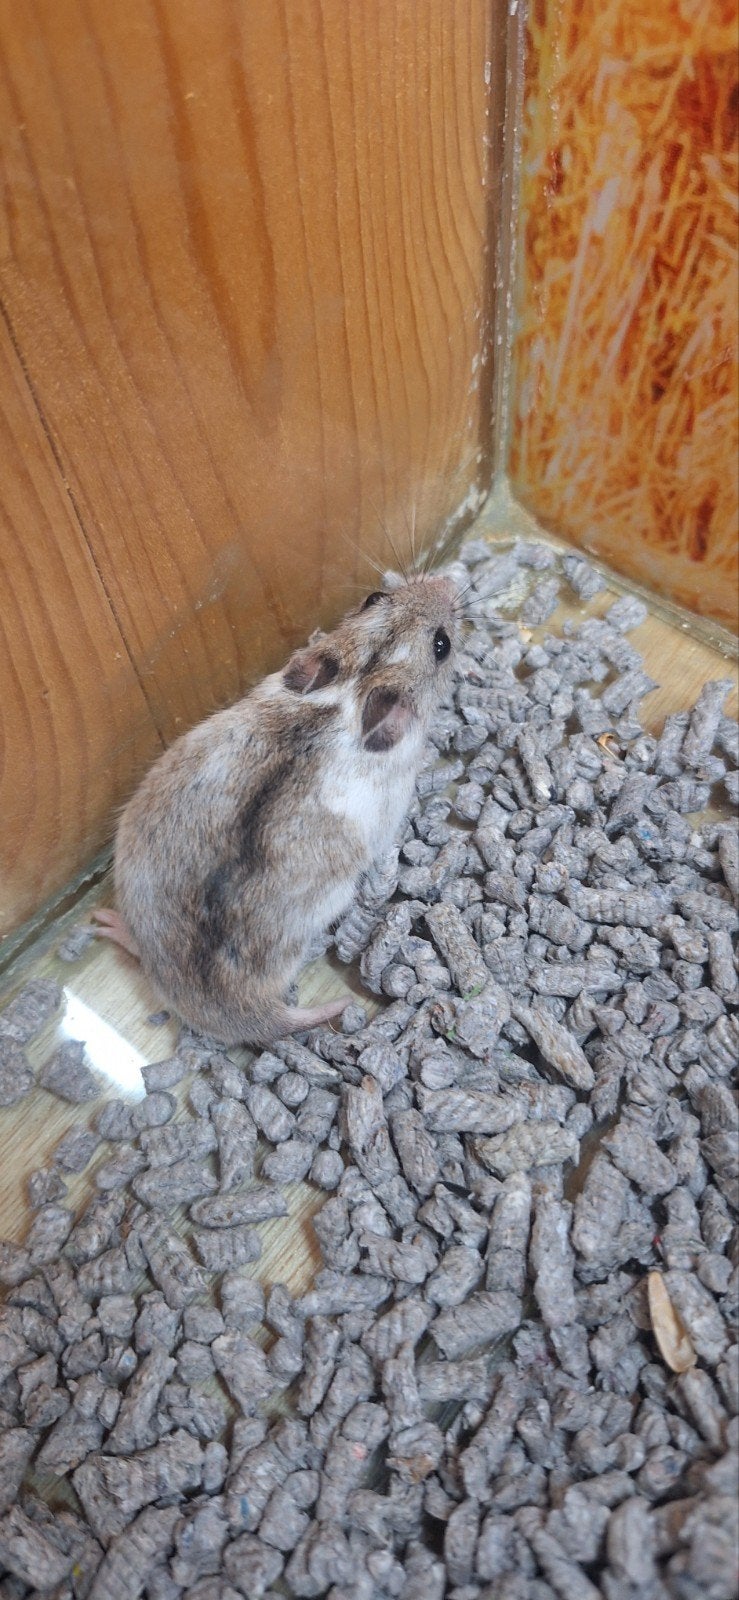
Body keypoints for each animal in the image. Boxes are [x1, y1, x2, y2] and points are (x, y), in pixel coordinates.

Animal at [94, 573, 459, 1045]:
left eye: (373, 597)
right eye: (441, 645)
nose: (449, 581)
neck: (350, 693)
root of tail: (241, 1013)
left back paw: (106, 924)